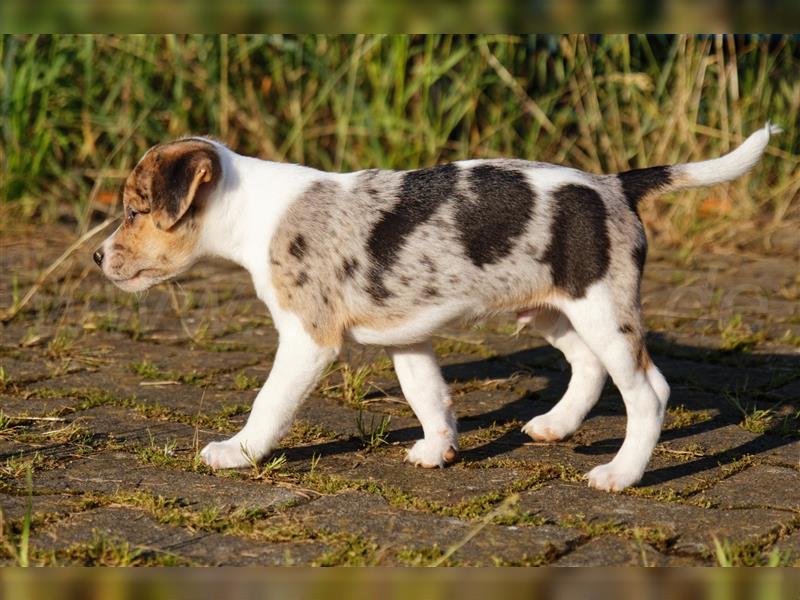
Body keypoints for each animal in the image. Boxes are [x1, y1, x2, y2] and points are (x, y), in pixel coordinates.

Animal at [92, 124, 776, 490]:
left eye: (134, 209)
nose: (97, 258)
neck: (251, 209)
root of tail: (615, 184)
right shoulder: (406, 336)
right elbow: (429, 396)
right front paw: (438, 449)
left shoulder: (308, 339)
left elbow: (269, 405)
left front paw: (236, 452)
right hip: (556, 311)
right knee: (587, 367)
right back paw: (555, 426)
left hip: (603, 310)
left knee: (648, 392)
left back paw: (621, 473)